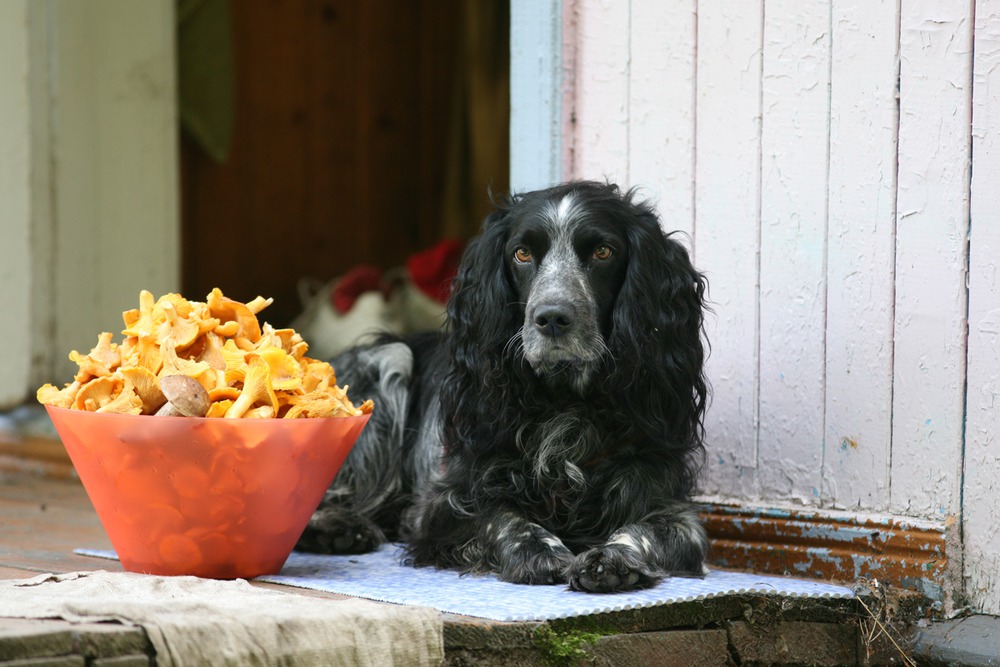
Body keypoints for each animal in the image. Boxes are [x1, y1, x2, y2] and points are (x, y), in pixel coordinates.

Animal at [296, 180, 712, 592]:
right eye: (522, 253)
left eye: (603, 251)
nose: (552, 318)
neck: (564, 402)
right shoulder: (445, 503)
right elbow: (499, 516)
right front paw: (536, 549)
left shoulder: (667, 504)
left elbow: (649, 530)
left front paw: (612, 559)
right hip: (391, 360)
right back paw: (337, 528)